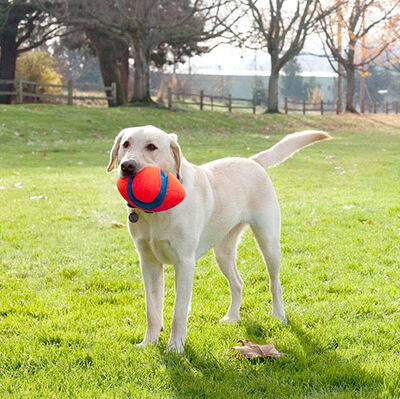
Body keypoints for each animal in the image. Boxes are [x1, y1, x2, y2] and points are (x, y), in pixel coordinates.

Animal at [107, 126, 332, 354]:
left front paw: (175, 348)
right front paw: (149, 343)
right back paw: (232, 316)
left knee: (274, 283)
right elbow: (152, 309)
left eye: (151, 147)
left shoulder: (185, 264)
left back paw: (279, 316)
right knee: (238, 283)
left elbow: (179, 313)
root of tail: (252, 161)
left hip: (268, 243)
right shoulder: (149, 263)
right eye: (126, 144)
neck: (157, 211)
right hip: (223, 253)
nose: (127, 166)